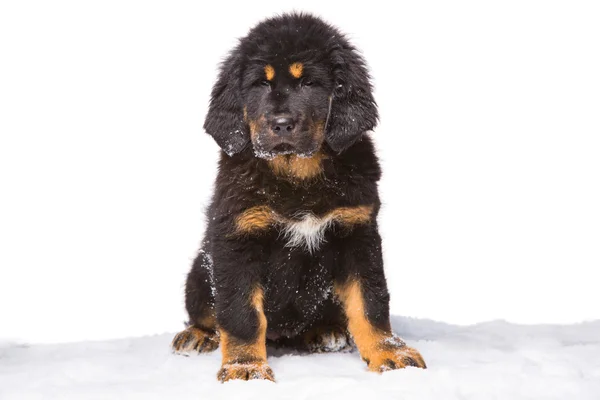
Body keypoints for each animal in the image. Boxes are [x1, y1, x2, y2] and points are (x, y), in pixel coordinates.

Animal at [171, 11, 426, 382]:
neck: (297, 173)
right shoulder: (237, 239)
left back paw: (327, 332)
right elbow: (241, 312)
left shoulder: (358, 232)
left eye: (308, 83)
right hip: (200, 274)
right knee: (206, 312)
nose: (281, 123)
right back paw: (197, 334)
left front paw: (390, 353)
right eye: (260, 84)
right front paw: (246, 367)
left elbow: (370, 302)